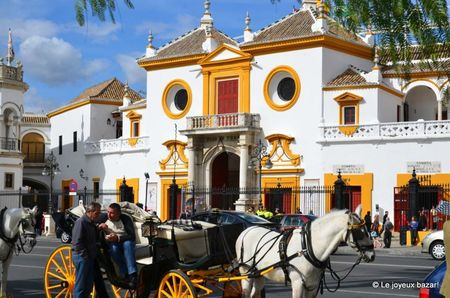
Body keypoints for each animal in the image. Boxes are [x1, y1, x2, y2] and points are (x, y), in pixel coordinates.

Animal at [237, 206, 374, 296]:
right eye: (360, 232)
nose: (372, 255)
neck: (308, 248)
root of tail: (246, 230)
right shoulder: (298, 283)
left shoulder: (313, 286)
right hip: (246, 273)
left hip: (258, 274)